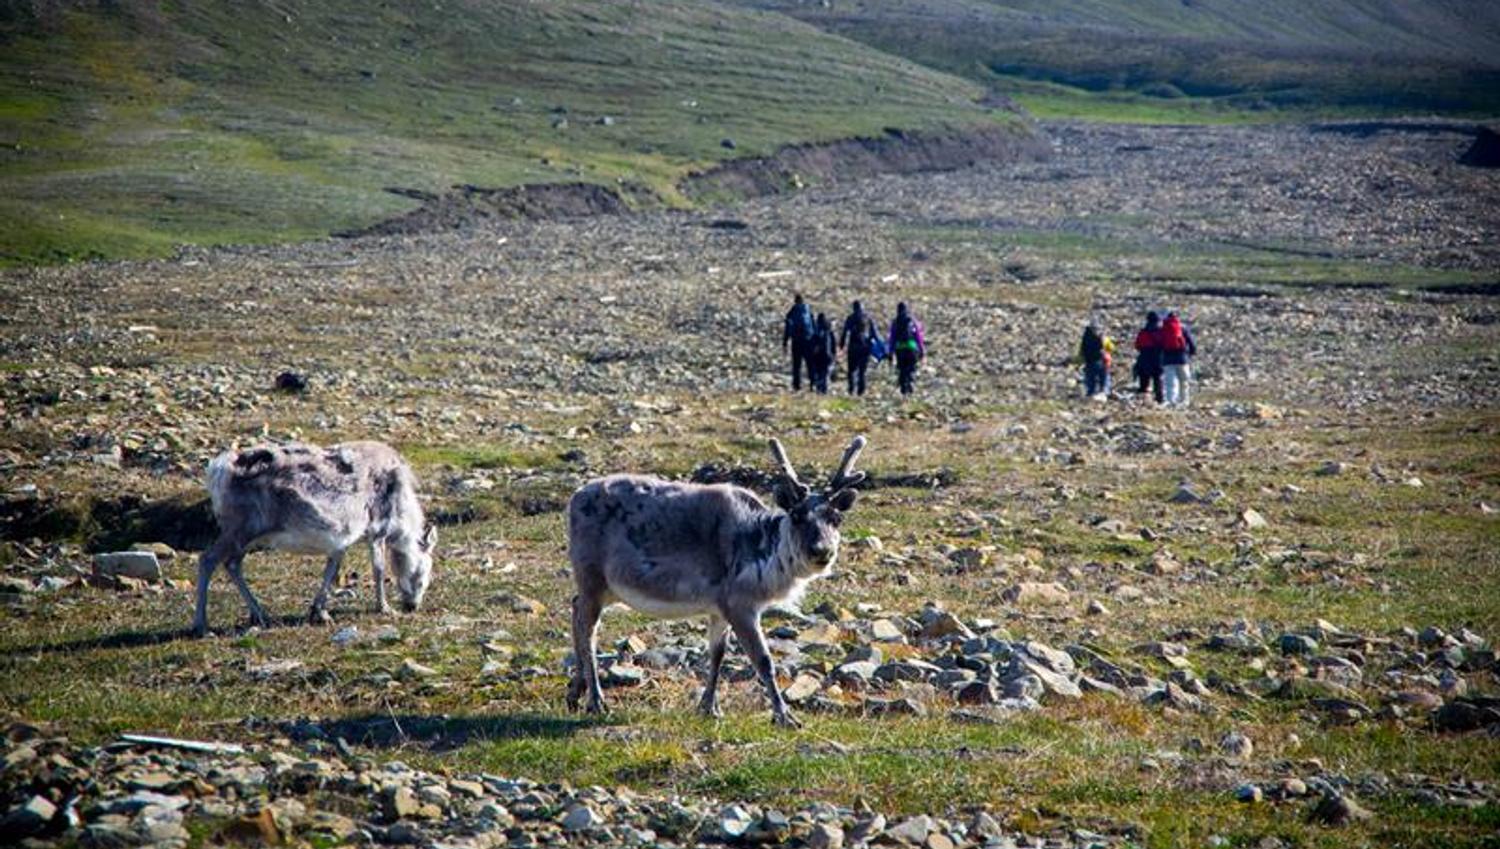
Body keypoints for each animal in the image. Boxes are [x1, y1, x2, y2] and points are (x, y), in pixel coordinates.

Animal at [191, 440, 436, 637]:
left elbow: (332, 568)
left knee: (232, 563)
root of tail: (218, 470)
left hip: (249, 536)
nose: (412, 606)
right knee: (208, 559)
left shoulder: (342, 540)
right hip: (241, 529)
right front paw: (384, 607)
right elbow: (379, 570)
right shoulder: (377, 530)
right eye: (424, 573)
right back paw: (201, 625)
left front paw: (319, 612)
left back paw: (260, 614)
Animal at [566, 435, 867, 728]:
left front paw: (710, 707)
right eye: (796, 515)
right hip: (591, 576)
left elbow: (717, 655)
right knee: (588, 629)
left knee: (575, 606)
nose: (822, 551)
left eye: (836, 518)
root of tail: (574, 499)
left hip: (605, 588)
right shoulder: (740, 604)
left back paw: (575, 691)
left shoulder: (719, 608)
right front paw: (785, 716)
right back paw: (596, 701)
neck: (764, 550)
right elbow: (764, 660)